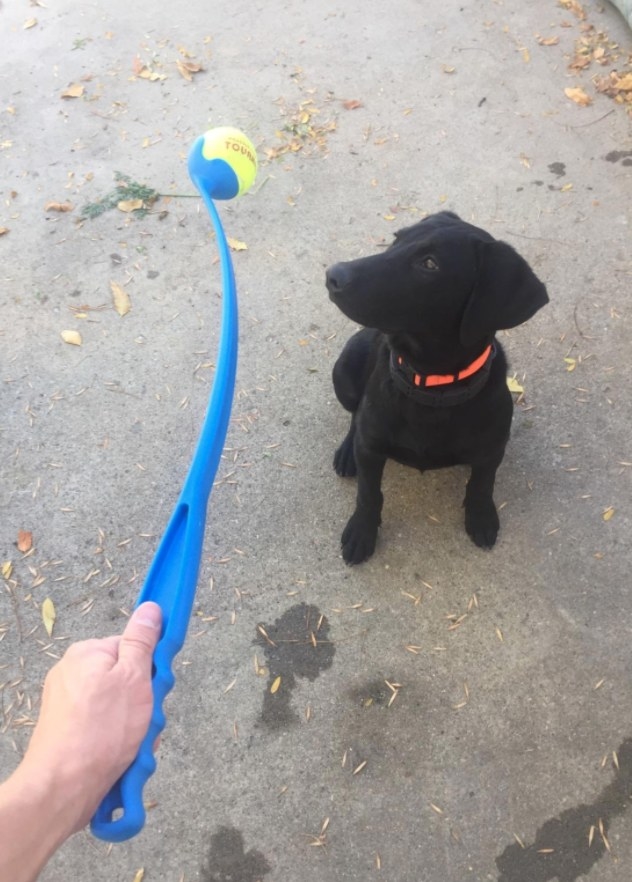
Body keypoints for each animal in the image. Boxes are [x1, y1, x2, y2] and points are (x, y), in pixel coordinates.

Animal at [326, 210, 548, 560]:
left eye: (429, 264)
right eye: (396, 239)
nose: (333, 275)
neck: (431, 386)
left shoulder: (492, 450)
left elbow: (482, 484)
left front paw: (481, 516)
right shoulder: (372, 448)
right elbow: (368, 493)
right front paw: (362, 531)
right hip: (344, 372)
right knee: (355, 416)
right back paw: (348, 450)